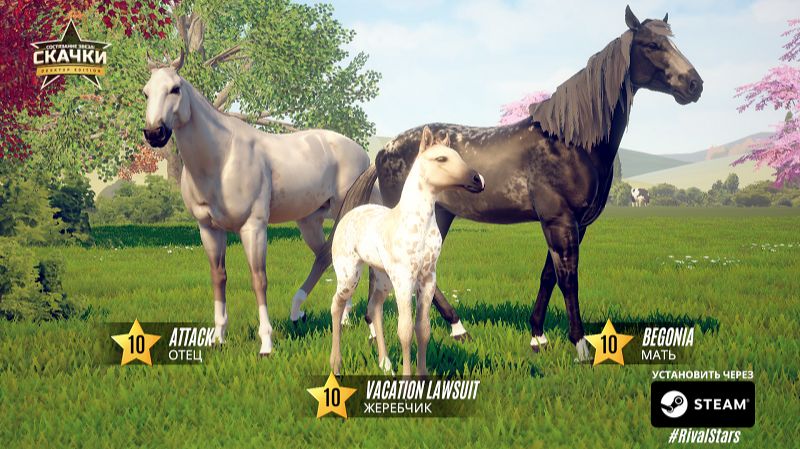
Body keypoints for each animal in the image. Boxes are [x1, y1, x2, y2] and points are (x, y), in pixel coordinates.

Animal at [142, 51, 376, 356]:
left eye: (175, 89)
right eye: (145, 92)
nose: (154, 133)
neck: (221, 159)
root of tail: (362, 153)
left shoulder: (253, 228)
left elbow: (258, 279)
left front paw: (266, 343)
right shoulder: (209, 229)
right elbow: (218, 277)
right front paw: (218, 337)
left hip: (344, 214)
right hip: (309, 220)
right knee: (328, 257)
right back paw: (319, 314)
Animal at [329, 126, 485, 376]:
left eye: (460, 157)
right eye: (441, 158)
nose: (477, 180)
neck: (418, 224)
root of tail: (351, 214)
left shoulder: (427, 278)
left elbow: (423, 329)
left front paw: (422, 377)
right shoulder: (404, 279)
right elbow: (405, 330)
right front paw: (407, 379)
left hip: (383, 278)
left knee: (375, 308)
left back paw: (385, 364)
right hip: (349, 274)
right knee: (337, 305)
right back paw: (336, 364)